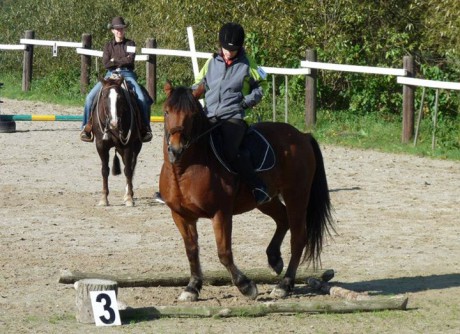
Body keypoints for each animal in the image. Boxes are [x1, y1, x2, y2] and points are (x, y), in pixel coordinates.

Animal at [91, 74, 142, 207]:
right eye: (104, 97)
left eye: (120, 98)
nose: (114, 123)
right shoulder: (101, 145)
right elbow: (105, 170)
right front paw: (104, 198)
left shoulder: (128, 145)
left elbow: (128, 170)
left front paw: (129, 198)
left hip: (136, 146)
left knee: (131, 165)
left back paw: (129, 193)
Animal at [160, 82, 332, 302]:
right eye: (166, 112)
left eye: (193, 115)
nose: (175, 149)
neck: (184, 169)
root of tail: (302, 136)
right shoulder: (181, 215)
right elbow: (191, 251)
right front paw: (192, 287)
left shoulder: (221, 213)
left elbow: (224, 253)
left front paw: (246, 286)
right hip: (267, 200)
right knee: (282, 219)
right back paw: (274, 258)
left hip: (297, 195)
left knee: (298, 238)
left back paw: (285, 285)